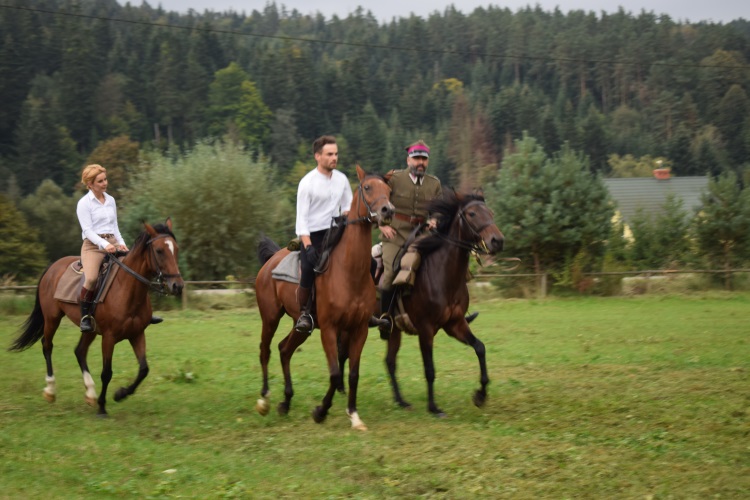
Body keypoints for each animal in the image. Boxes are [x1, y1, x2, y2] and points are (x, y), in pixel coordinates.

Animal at [9, 219, 185, 414]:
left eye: (176, 249)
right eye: (159, 251)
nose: (177, 286)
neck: (126, 289)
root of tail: (52, 267)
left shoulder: (137, 334)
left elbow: (144, 369)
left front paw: (120, 394)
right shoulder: (109, 337)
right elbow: (107, 373)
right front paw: (102, 407)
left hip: (90, 329)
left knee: (79, 351)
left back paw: (90, 393)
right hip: (52, 318)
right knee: (47, 346)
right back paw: (50, 390)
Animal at [254, 166, 394, 432]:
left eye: (390, 191)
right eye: (367, 187)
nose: (387, 211)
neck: (349, 271)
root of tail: (270, 262)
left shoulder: (359, 329)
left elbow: (352, 374)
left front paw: (354, 415)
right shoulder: (329, 329)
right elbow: (335, 372)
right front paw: (320, 411)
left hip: (301, 325)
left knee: (284, 349)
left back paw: (285, 402)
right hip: (270, 317)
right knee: (265, 350)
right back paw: (264, 400)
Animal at [388, 189, 506, 416]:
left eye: (491, 213)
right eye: (472, 214)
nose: (497, 241)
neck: (442, 274)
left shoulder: (455, 324)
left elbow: (480, 348)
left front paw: (480, 395)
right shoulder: (425, 329)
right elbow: (429, 369)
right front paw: (433, 407)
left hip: (393, 330)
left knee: (389, 362)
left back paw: (401, 401)